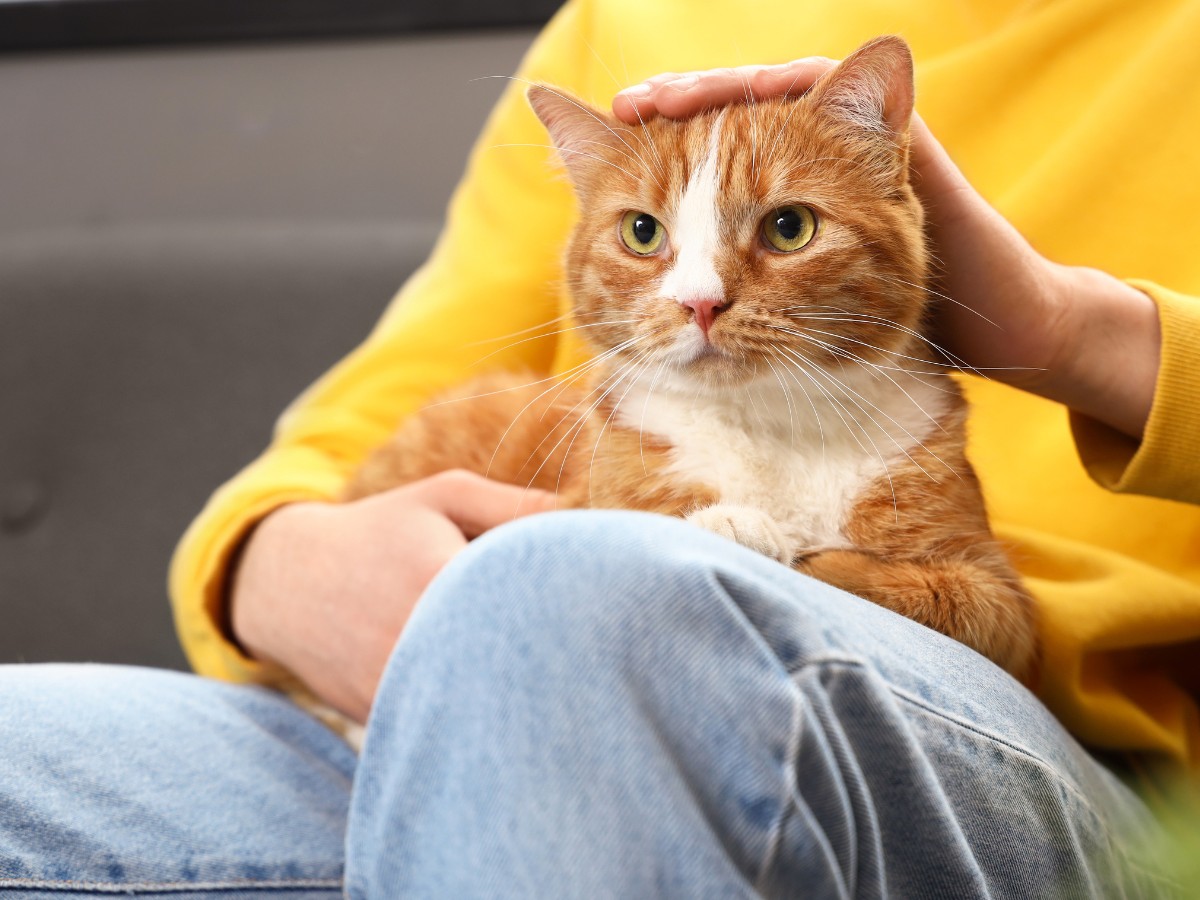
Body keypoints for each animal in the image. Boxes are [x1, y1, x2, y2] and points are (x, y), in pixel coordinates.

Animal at [348, 35, 1041, 681]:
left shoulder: (1006, 609)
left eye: (790, 227)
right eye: (641, 232)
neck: (769, 427)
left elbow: (939, 595)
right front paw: (736, 526)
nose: (700, 303)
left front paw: (775, 542)